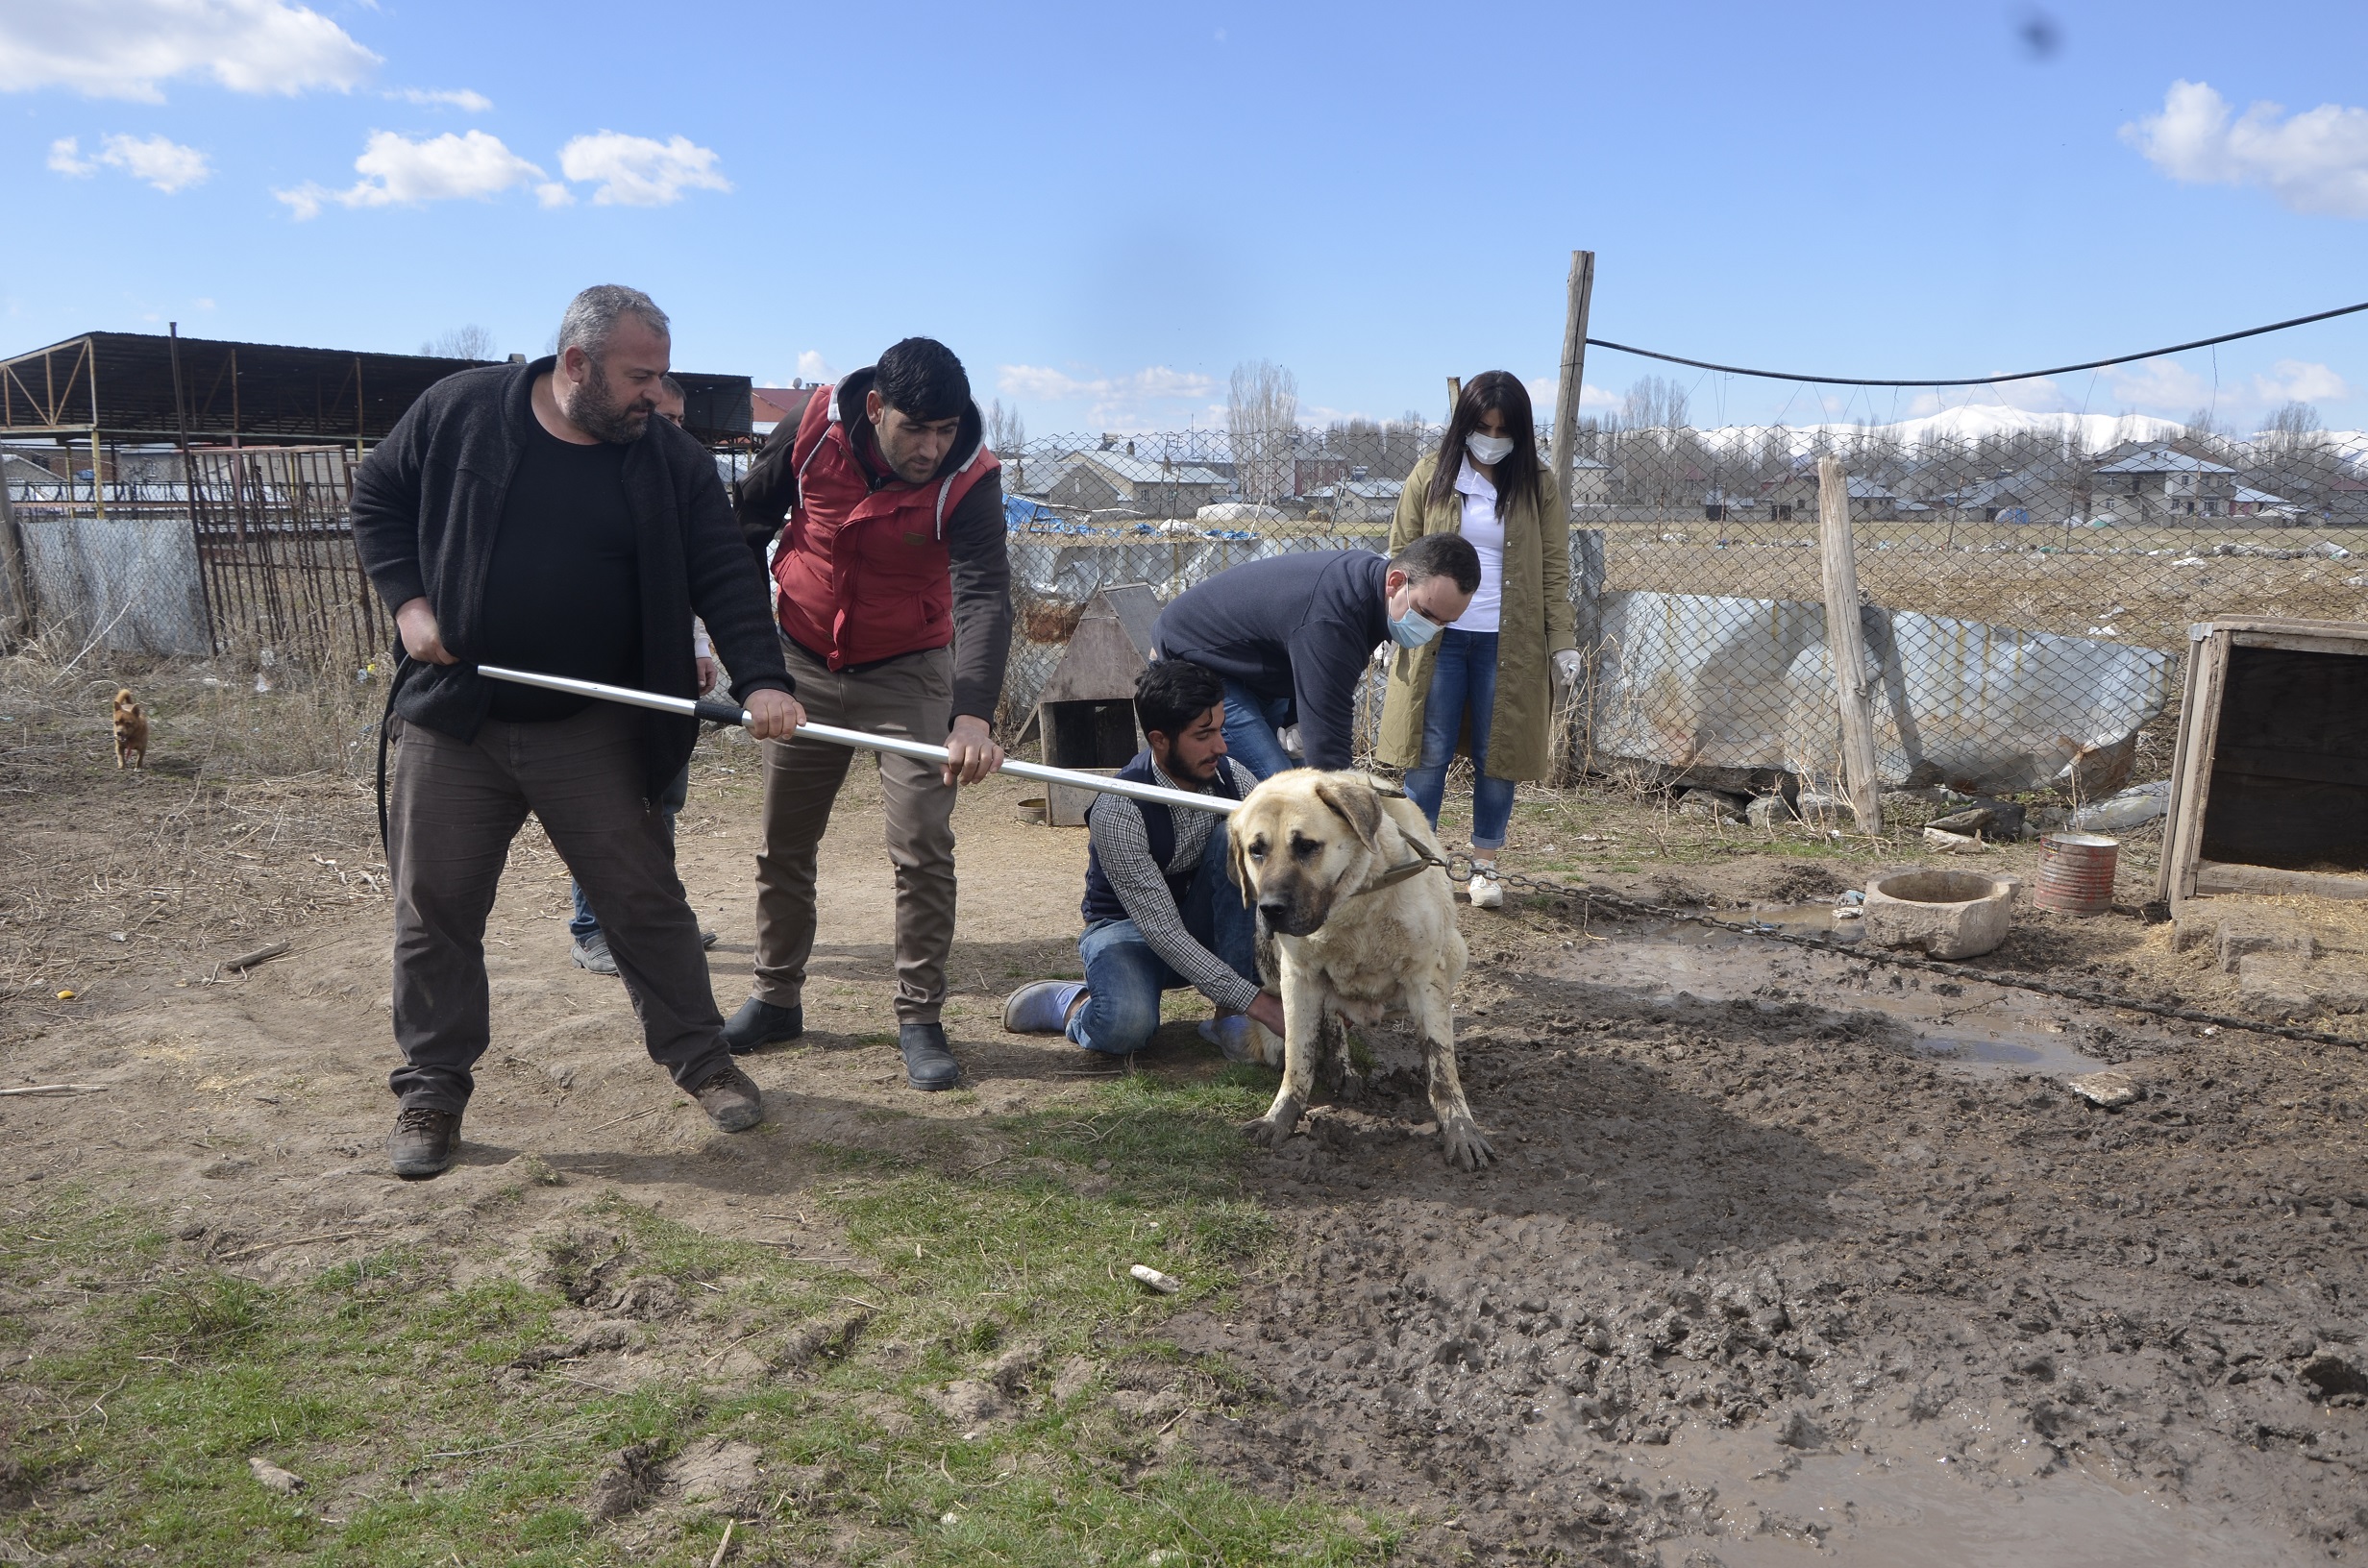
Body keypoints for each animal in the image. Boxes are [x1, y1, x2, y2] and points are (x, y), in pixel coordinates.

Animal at [1221, 767, 1496, 1174]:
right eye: (1256, 850)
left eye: (1305, 846)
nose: (1269, 909)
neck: (1353, 901)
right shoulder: (1298, 975)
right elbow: (1298, 1057)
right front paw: (1280, 1118)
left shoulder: (1426, 975)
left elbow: (1441, 1065)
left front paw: (1460, 1129)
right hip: (1269, 958)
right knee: (1331, 1016)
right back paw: (1342, 1065)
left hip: (1455, 952)